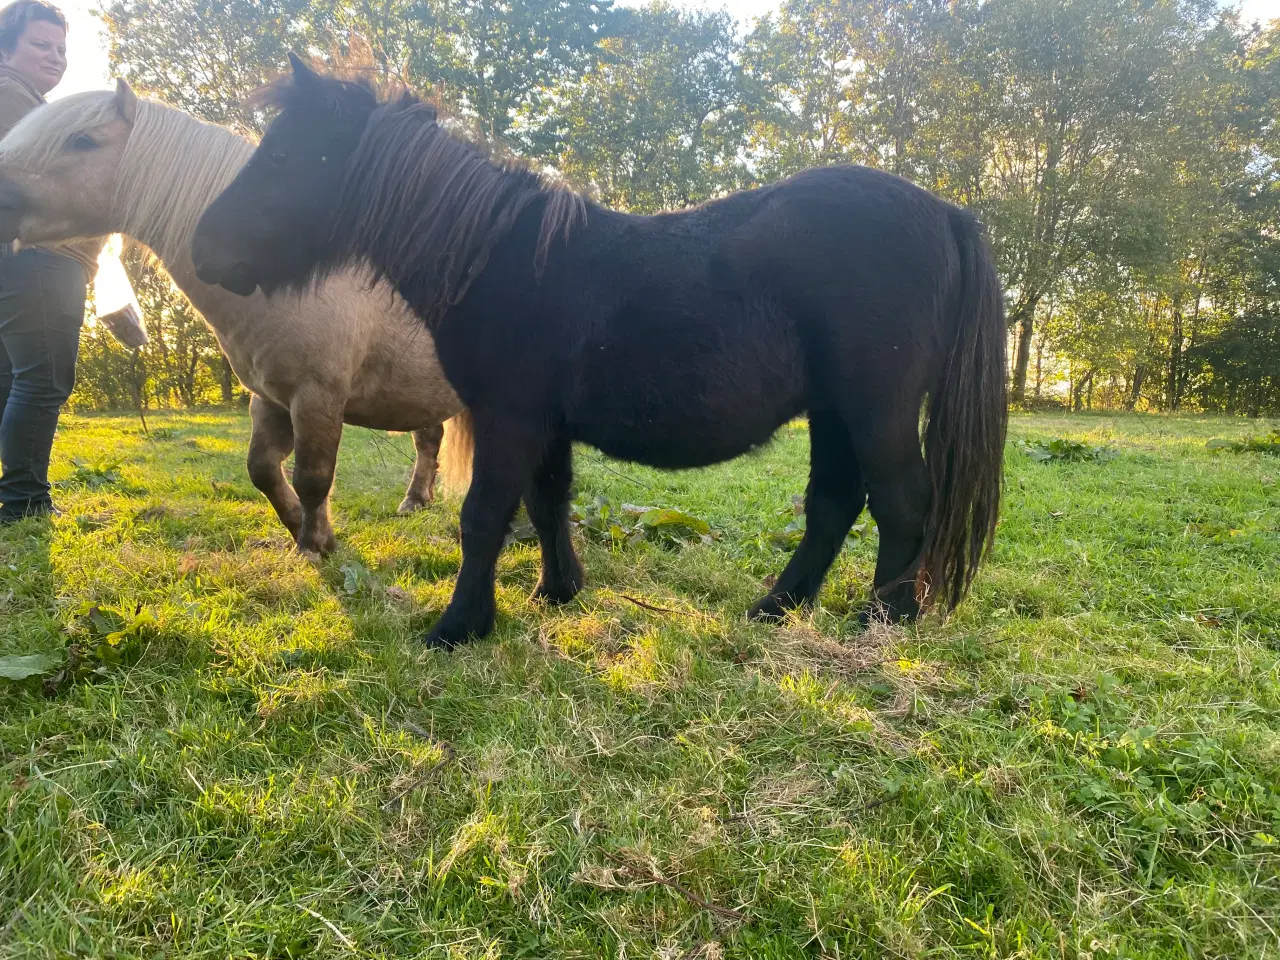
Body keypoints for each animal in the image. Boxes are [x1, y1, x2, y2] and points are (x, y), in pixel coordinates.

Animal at [192, 56, 1008, 650]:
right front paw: (556, 591)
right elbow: (547, 502)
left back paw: (884, 622)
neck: (495, 257)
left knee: (903, 502)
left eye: (286, 155)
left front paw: (458, 626)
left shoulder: (510, 417)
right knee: (835, 503)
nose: (205, 246)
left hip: (877, 408)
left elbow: (483, 516)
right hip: (833, 411)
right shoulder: (543, 425)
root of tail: (946, 210)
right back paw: (775, 608)